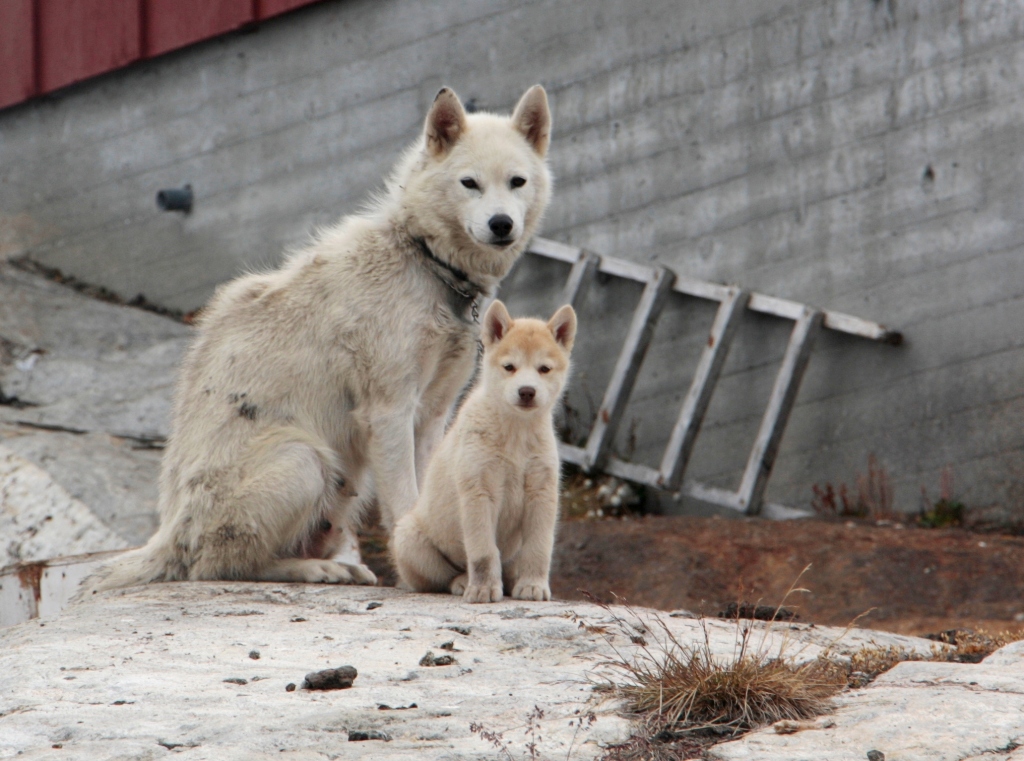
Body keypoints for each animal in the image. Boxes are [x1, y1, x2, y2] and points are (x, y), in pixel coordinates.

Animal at [391, 301, 573, 602]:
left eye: (544, 369)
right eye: (509, 367)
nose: (527, 391)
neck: (515, 434)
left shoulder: (542, 493)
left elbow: (539, 548)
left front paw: (533, 585)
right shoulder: (479, 491)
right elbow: (483, 552)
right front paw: (484, 588)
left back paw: (512, 581)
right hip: (409, 539)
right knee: (444, 575)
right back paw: (463, 581)